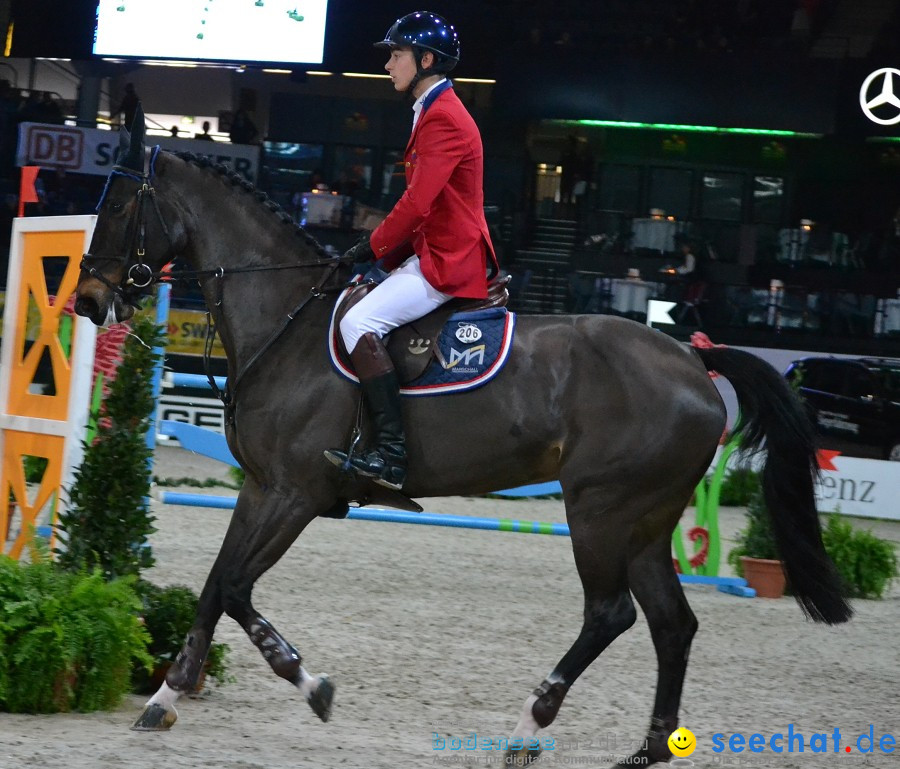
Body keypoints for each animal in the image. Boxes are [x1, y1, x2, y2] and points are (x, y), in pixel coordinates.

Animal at [72, 118, 852, 760]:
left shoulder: (298, 492)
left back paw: (528, 727)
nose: (86, 301)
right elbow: (213, 585)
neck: (287, 320)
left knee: (611, 614)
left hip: (600, 510)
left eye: (118, 210)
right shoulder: (261, 487)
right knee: (672, 624)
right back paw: (648, 749)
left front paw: (311, 683)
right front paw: (165, 697)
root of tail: (692, 357)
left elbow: (235, 586)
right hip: (644, 520)